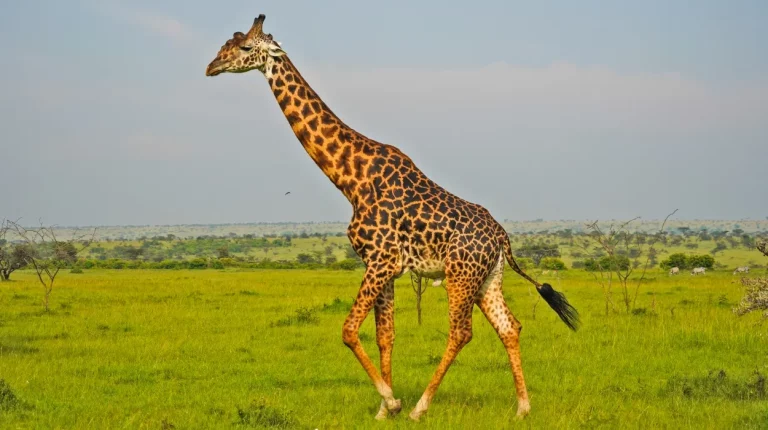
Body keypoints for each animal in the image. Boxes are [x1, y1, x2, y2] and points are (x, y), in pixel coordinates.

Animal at [205, 14, 580, 421]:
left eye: (245, 47)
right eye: (227, 43)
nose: (211, 67)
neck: (350, 179)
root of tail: (502, 239)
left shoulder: (381, 260)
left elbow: (349, 330)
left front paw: (393, 400)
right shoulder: (382, 265)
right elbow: (385, 335)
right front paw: (383, 411)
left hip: (460, 277)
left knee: (461, 332)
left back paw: (421, 406)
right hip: (487, 279)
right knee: (510, 326)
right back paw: (523, 408)